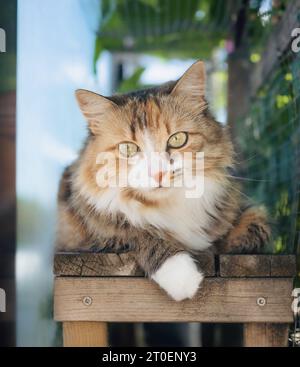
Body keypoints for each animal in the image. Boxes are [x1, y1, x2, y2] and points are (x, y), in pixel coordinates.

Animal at [55, 60, 270, 302]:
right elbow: (139, 233)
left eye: (177, 139)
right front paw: (181, 276)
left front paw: (233, 243)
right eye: (128, 149)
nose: (158, 173)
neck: (170, 206)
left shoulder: (237, 205)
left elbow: (258, 221)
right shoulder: (91, 235)